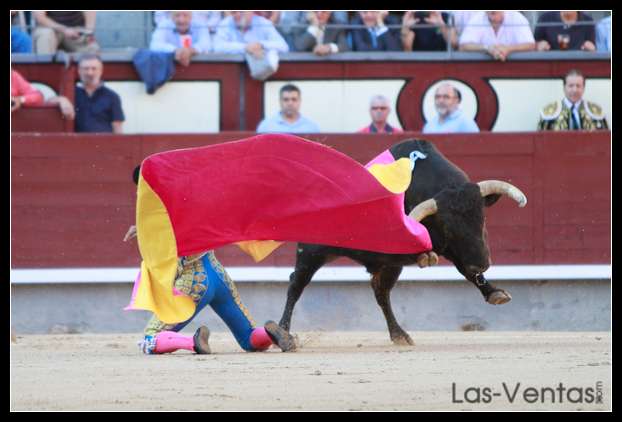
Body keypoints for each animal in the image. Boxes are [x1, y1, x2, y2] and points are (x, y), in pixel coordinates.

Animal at [280, 139, 528, 346]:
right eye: (449, 227)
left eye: (482, 218)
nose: (481, 263)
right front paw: (427, 256)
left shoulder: (453, 250)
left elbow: (465, 270)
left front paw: (494, 292)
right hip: (310, 252)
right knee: (296, 285)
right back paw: (283, 335)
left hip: (385, 267)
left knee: (380, 292)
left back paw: (399, 334)